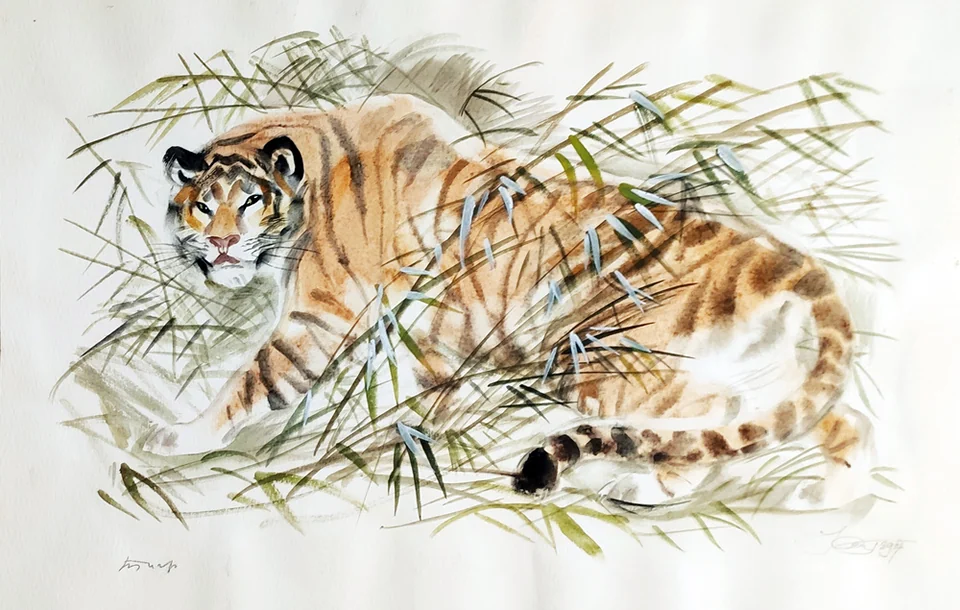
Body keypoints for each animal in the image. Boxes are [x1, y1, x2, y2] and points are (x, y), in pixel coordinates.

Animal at [144, 93, 861, 500]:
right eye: (203, 205)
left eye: (248, 203)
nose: (223, 247)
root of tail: (786, 259)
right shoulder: (433, 333)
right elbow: (431, 388)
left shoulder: (319, 318)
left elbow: (251, 382)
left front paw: (172, 438)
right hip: (781, 387)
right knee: (823, 424)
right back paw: (834, 498)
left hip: (605, 362)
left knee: (706, 415)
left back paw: (642, 488)